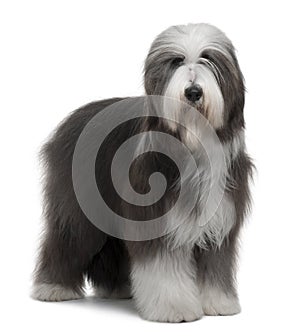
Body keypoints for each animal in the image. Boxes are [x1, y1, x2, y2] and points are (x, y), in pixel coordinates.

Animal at [32, 23, 253, 322]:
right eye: (176, 61)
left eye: (208, 59)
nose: (193, 91)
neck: (193, 145)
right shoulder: (155, 218)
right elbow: (162, 268)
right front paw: (174, 308)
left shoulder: (219, 221)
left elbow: (215, 264)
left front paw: (218, 303)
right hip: (80, 208)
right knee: (69, 238)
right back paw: (53, 288)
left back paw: (117, 289)